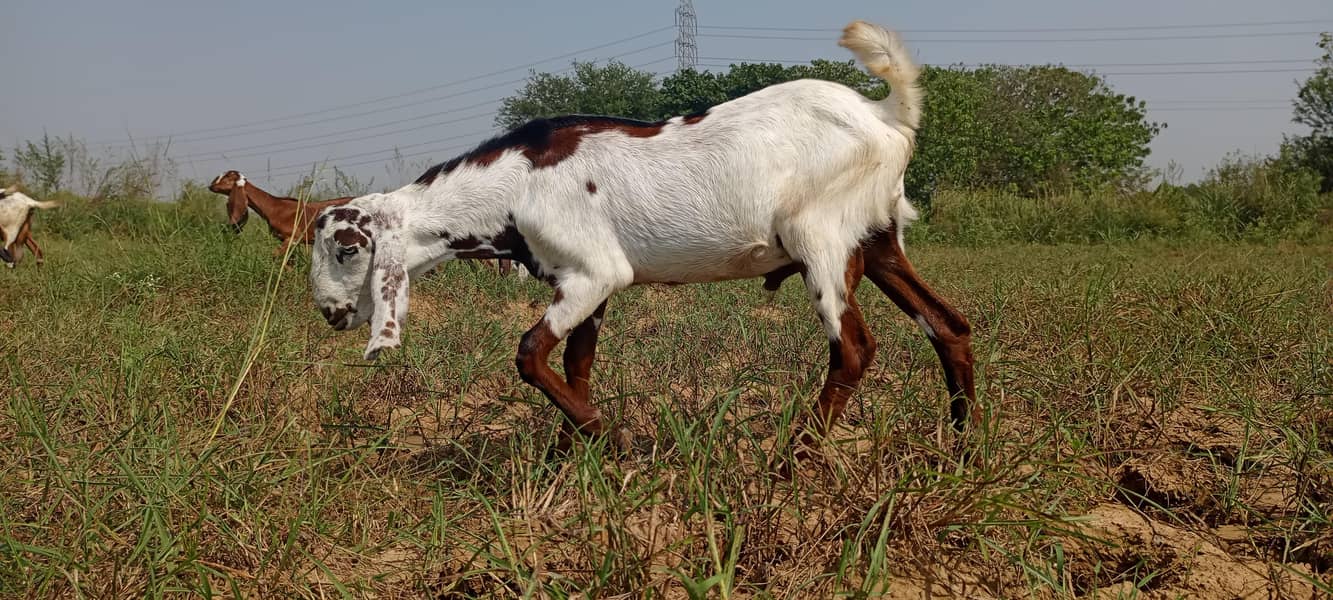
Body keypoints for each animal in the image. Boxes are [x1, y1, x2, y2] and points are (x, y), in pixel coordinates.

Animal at [307, 21, 977, 466]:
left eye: (346, 248)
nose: (330, 313)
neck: (515, 180)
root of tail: (886, 115)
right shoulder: (584, 283)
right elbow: (575, 364)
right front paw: (568, 454)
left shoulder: (594, 273)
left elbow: (528, 354)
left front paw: (611, 438)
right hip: (880, 239)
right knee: (948, 324)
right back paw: (963, 448)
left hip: (823, 241)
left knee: (855, 348)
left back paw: (793, 457)